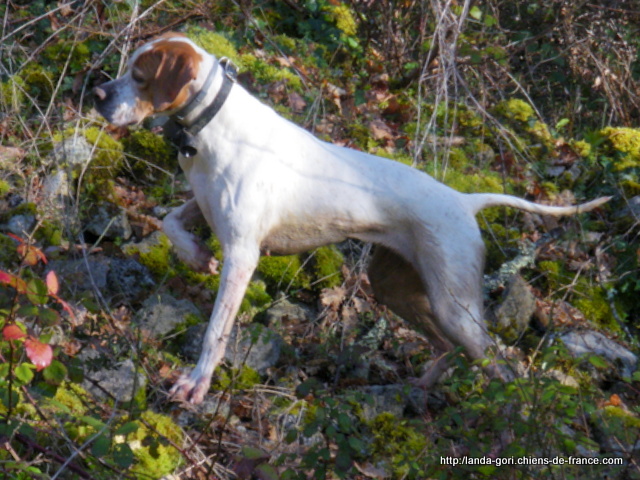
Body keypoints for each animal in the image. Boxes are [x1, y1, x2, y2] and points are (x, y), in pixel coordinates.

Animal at [94, 31, 608, 404]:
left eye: (140, 75)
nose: (98, 92)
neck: (211, 129)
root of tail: (464, 201)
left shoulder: (243, 255)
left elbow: (215, 334)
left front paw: (196, 384)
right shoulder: (202, 208)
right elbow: (169, 223)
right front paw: (197, 256)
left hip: (455, 305)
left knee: (501, 366)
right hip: (395, 287)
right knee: (448, 350)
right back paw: (422, 387)